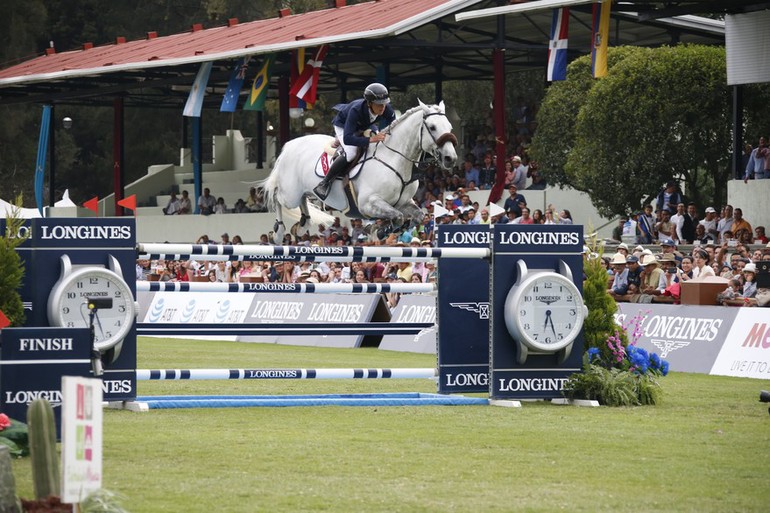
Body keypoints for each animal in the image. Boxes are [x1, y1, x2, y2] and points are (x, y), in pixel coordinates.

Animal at [258, 102, 456, 244]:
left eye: (450, 127)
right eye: (432, 127)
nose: (450, 158)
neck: (395, 159)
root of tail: (289, 146)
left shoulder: (403, 203)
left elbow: (418, 216)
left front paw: (380, 230)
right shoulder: (368, 203)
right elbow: (398, 217)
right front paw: (380, 230)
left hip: (301, 190)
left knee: (303, 199)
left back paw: (302, 224)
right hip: (289, 193)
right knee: (276, 196)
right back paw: (279, 233)